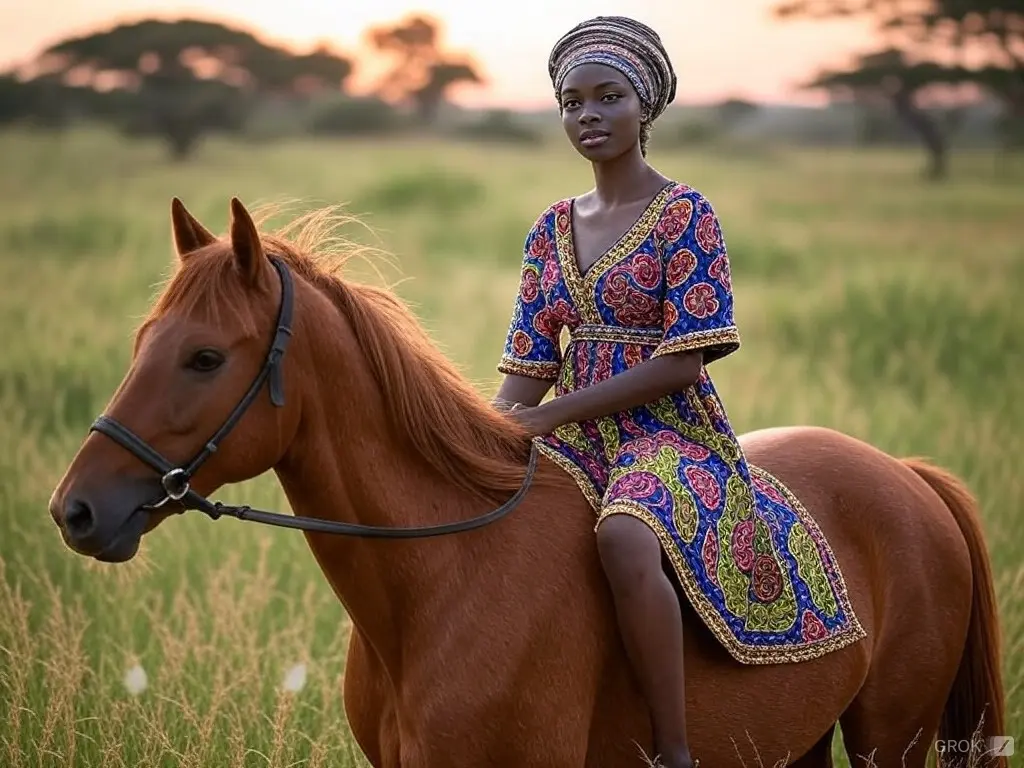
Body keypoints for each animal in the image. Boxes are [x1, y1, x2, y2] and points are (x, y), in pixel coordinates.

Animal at [49, 198, 1007, 768]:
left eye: (205, 358)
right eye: (143, 343)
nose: (77, 511)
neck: (438, 582)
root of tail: (910, 478)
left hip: (893, 735)